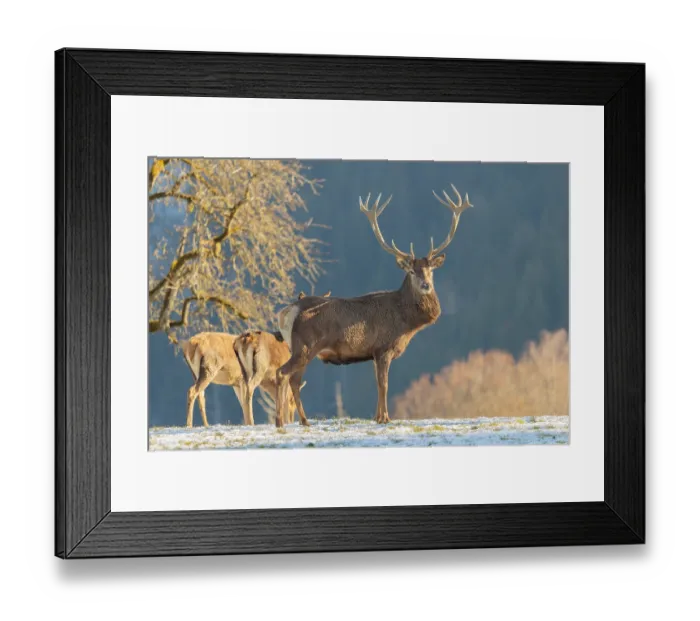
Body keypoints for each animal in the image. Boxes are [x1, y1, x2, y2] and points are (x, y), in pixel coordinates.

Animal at [274, 185, 473, 428]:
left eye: (430, 270)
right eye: (411, 271)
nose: (426, 285)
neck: (406, 323)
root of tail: (287, 312)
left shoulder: (372, 352)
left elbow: (378, 384)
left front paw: (377, 416)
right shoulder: (384, 346)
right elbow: (384, 384)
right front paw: (385, 418)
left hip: (302, 349)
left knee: (294, 379)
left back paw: (304, 421)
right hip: (304, 346)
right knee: (282, 373)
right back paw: (280, 421)